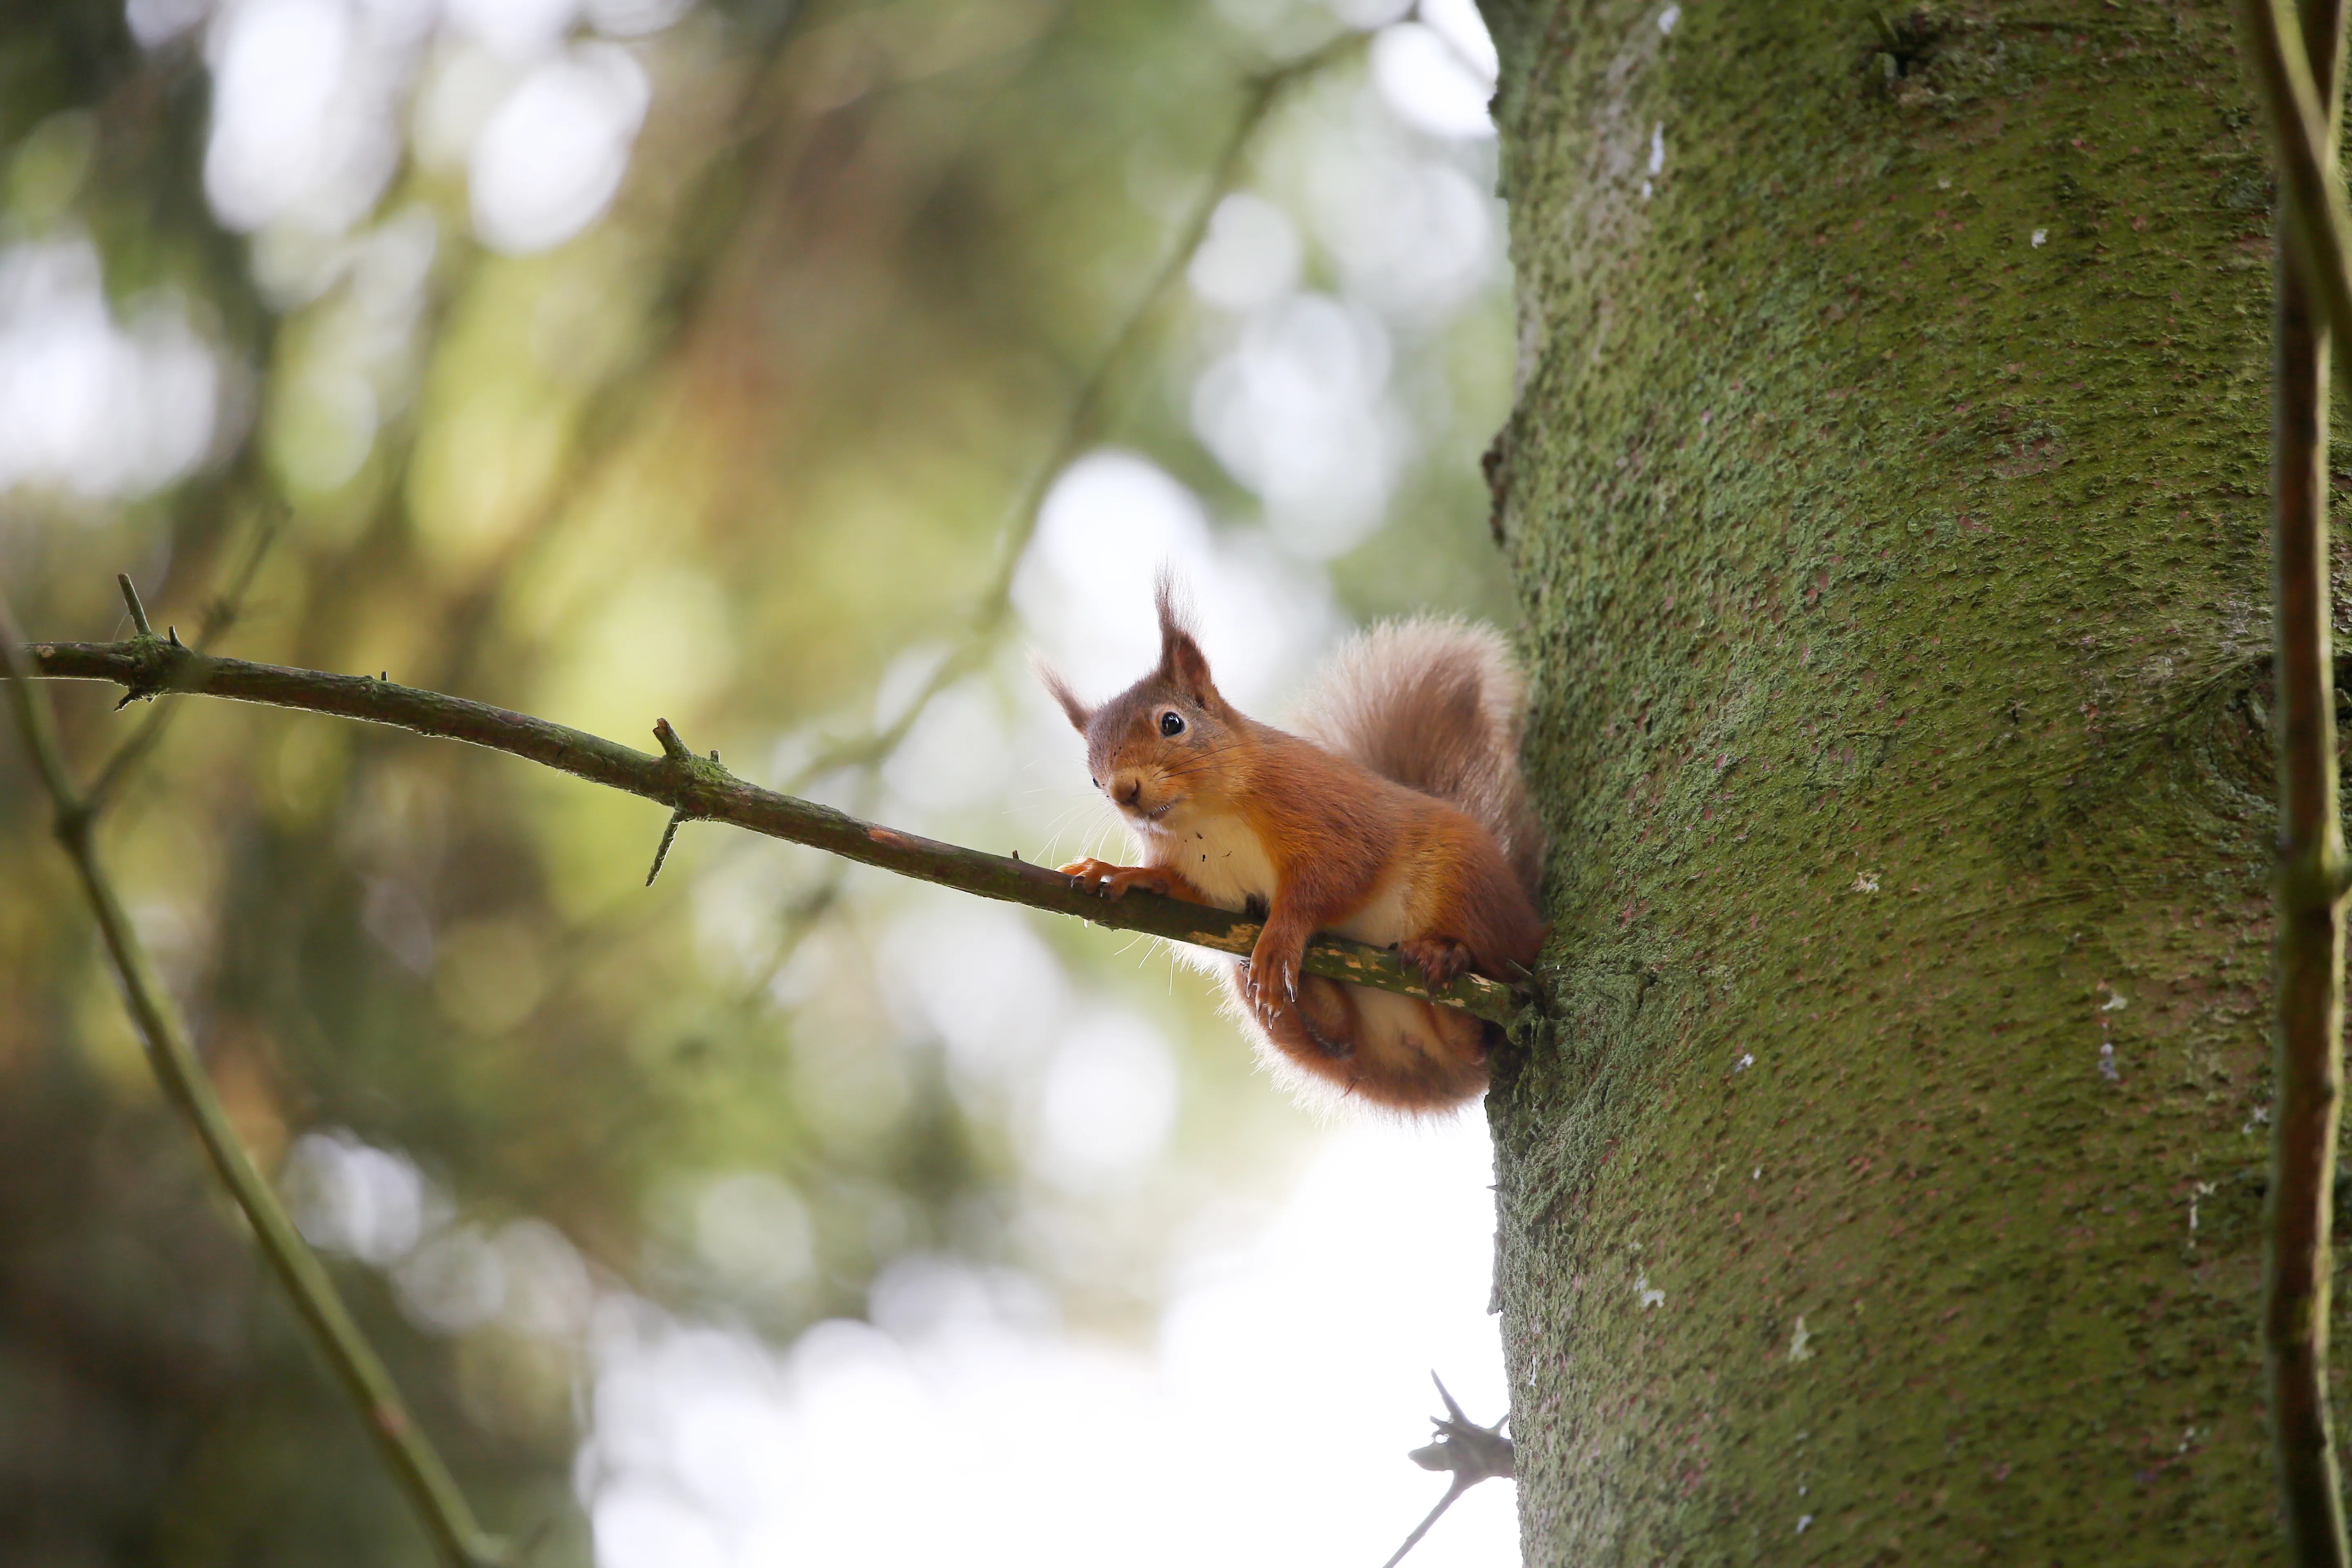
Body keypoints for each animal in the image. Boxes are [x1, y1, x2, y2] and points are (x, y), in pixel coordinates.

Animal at [1040, 576, 1544, 1112]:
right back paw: (1318, 994)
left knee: (1491, 1007)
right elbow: (1182, 891)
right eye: (1094, 778)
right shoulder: (1208, 886)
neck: (1206, 821)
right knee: (1349, 1039)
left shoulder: (1326, 815)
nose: (1123, 792)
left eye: (1172, 723)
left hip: (1464, 886)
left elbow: (1331, 880)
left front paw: (1283, 935)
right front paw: (1122, 873)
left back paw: (1444, 958)